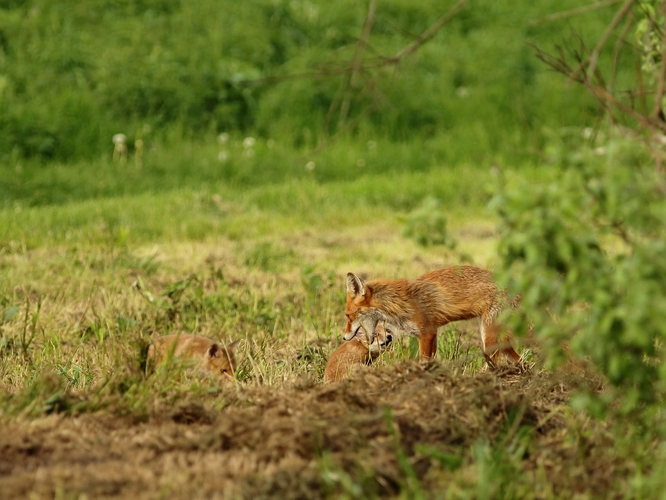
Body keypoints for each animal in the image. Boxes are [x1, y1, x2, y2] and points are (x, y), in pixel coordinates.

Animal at [342, 266, 520, 364]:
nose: (343, 337)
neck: (397, 303)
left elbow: (423, 361)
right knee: (518, 360)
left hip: (488, 338)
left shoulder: (426, 333)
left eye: (348, 316)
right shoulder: (433, 333)